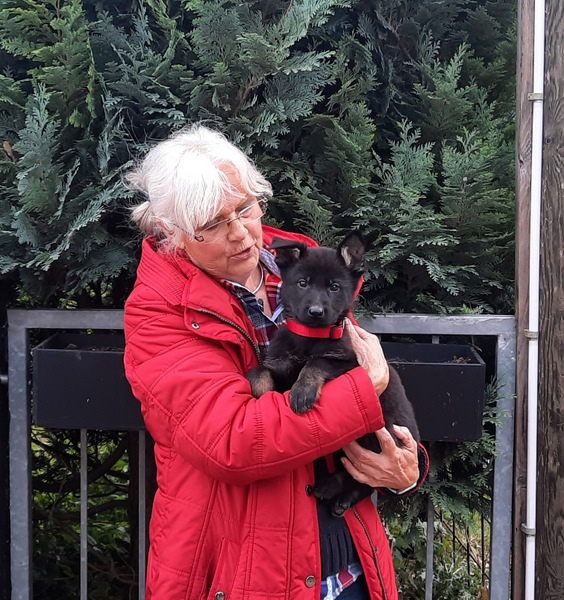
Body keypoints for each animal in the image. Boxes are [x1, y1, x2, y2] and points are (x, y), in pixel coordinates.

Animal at [246, 232, 420, 516]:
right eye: (302, 283)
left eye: (335, 287)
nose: (316, 312)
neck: (310, 337)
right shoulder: (280, 365)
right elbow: (259, 370)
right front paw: (262, 394)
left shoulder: (351, 364)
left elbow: (318, 363)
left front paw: (303, 392)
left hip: (379, 437)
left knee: (368, 480)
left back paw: (341, 495)